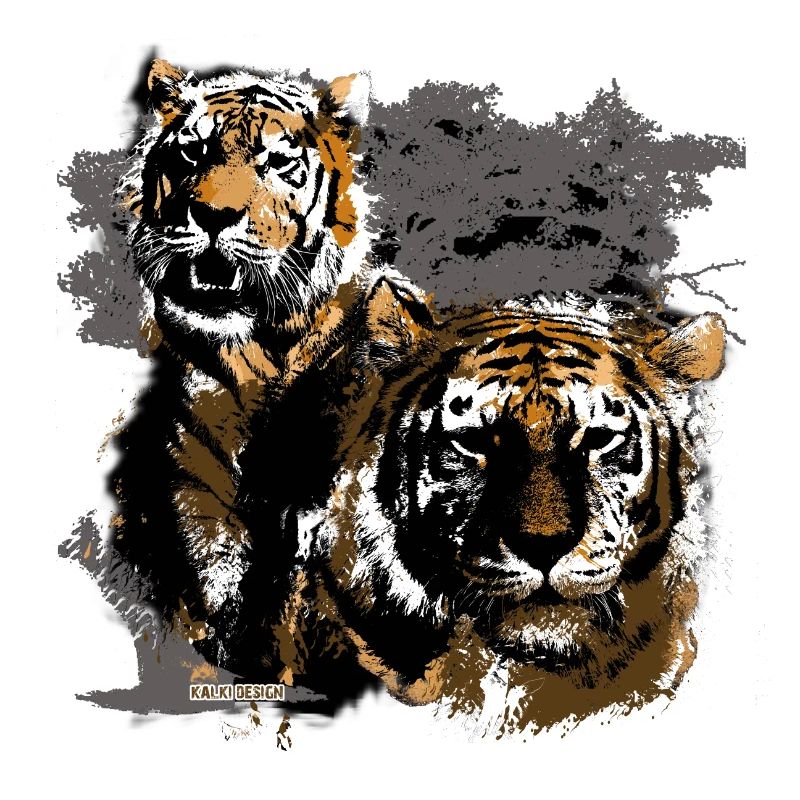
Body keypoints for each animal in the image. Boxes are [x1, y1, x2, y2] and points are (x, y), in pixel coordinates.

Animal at [110, 57, 394, 677]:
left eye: (278, 161)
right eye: (194, 152)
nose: (213, 215)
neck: (254, 357)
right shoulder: (192, 493)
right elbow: (213, 591)